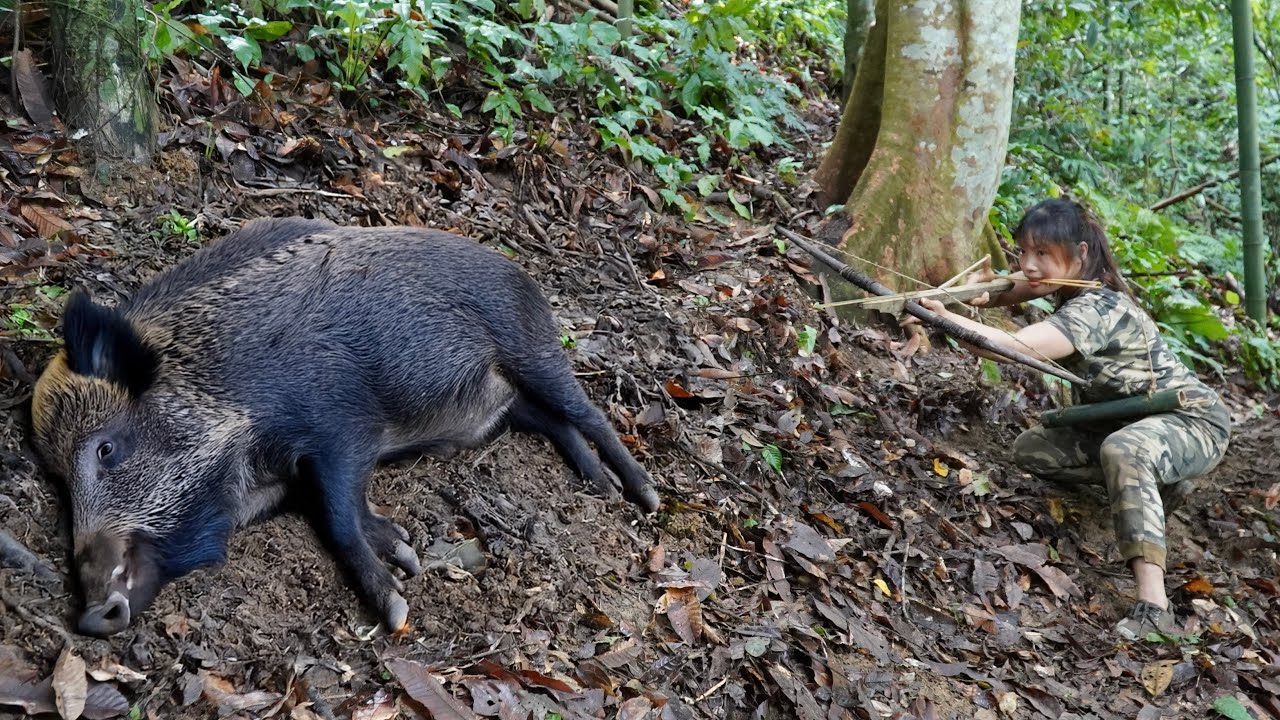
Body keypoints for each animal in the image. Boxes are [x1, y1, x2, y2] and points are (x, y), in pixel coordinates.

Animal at [30, 217, 660, 637]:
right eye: (57, 480)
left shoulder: (340, 427)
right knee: (555, 423)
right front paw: (404, 551)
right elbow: (347, 510)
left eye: (106, 449)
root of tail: (519, 269)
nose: (92, 614)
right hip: (498, 411)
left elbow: (338, 517)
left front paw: (398, 610)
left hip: (531, 349)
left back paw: (642, 494)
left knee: (589, 413)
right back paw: (598, 485)